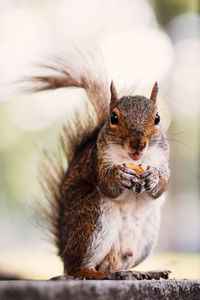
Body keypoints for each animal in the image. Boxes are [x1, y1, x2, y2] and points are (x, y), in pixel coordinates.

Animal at [29, 48, 170, 280]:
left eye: (157, 118)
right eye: (113, 117)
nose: (138, 144)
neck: (134, 160)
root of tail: (64, 254)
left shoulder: (163, 157)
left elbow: (162, 187)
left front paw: (154, 177)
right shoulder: (99, 158)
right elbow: (107, 184)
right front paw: (118, 176)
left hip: (145, 239)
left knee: (120, 265)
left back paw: (143, 272)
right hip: (93, 216)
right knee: (77, 268)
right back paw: (99, 274)